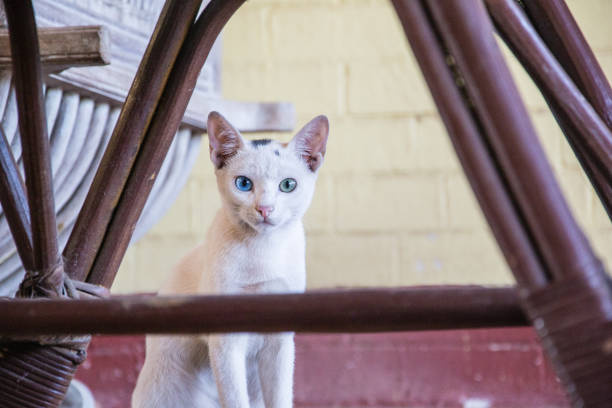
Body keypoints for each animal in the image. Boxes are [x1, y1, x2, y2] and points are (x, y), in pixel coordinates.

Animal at [131, 111, 328, 408]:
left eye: (288, 185)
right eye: (244, 184)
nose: (265, 208)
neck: (262, 250)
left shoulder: (280, 341)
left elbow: (280, 395)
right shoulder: (225, 339)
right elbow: (235, 398)